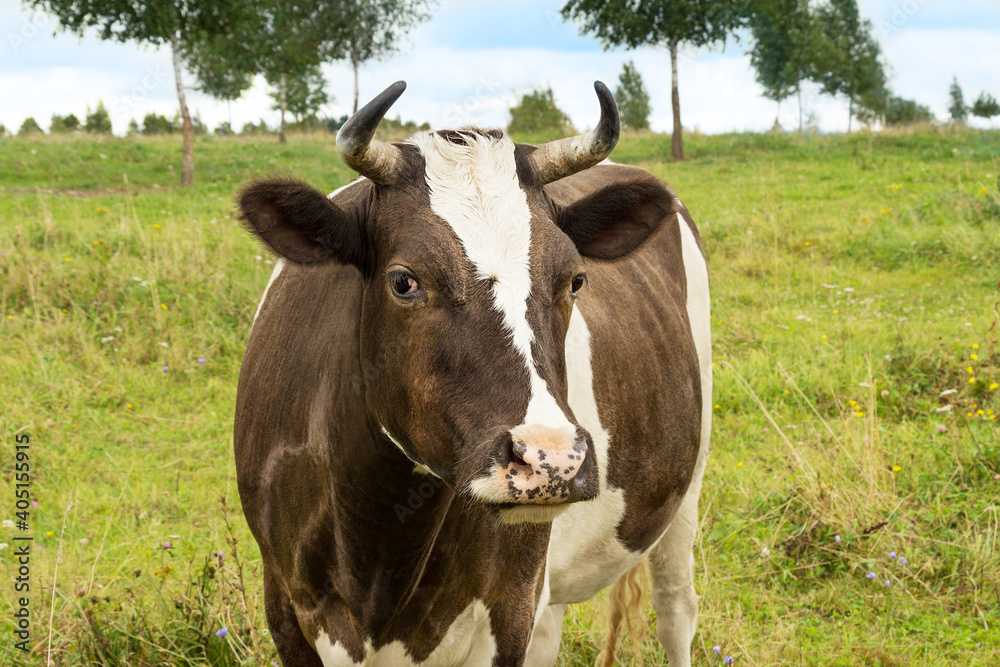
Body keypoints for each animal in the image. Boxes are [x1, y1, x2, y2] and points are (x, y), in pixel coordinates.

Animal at [234, 79, 712, 667]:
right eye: (404, 281)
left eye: (574, 280)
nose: (551, 460)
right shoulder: (284, 604)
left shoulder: (508, 608)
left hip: (686, 483)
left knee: (676, 608)